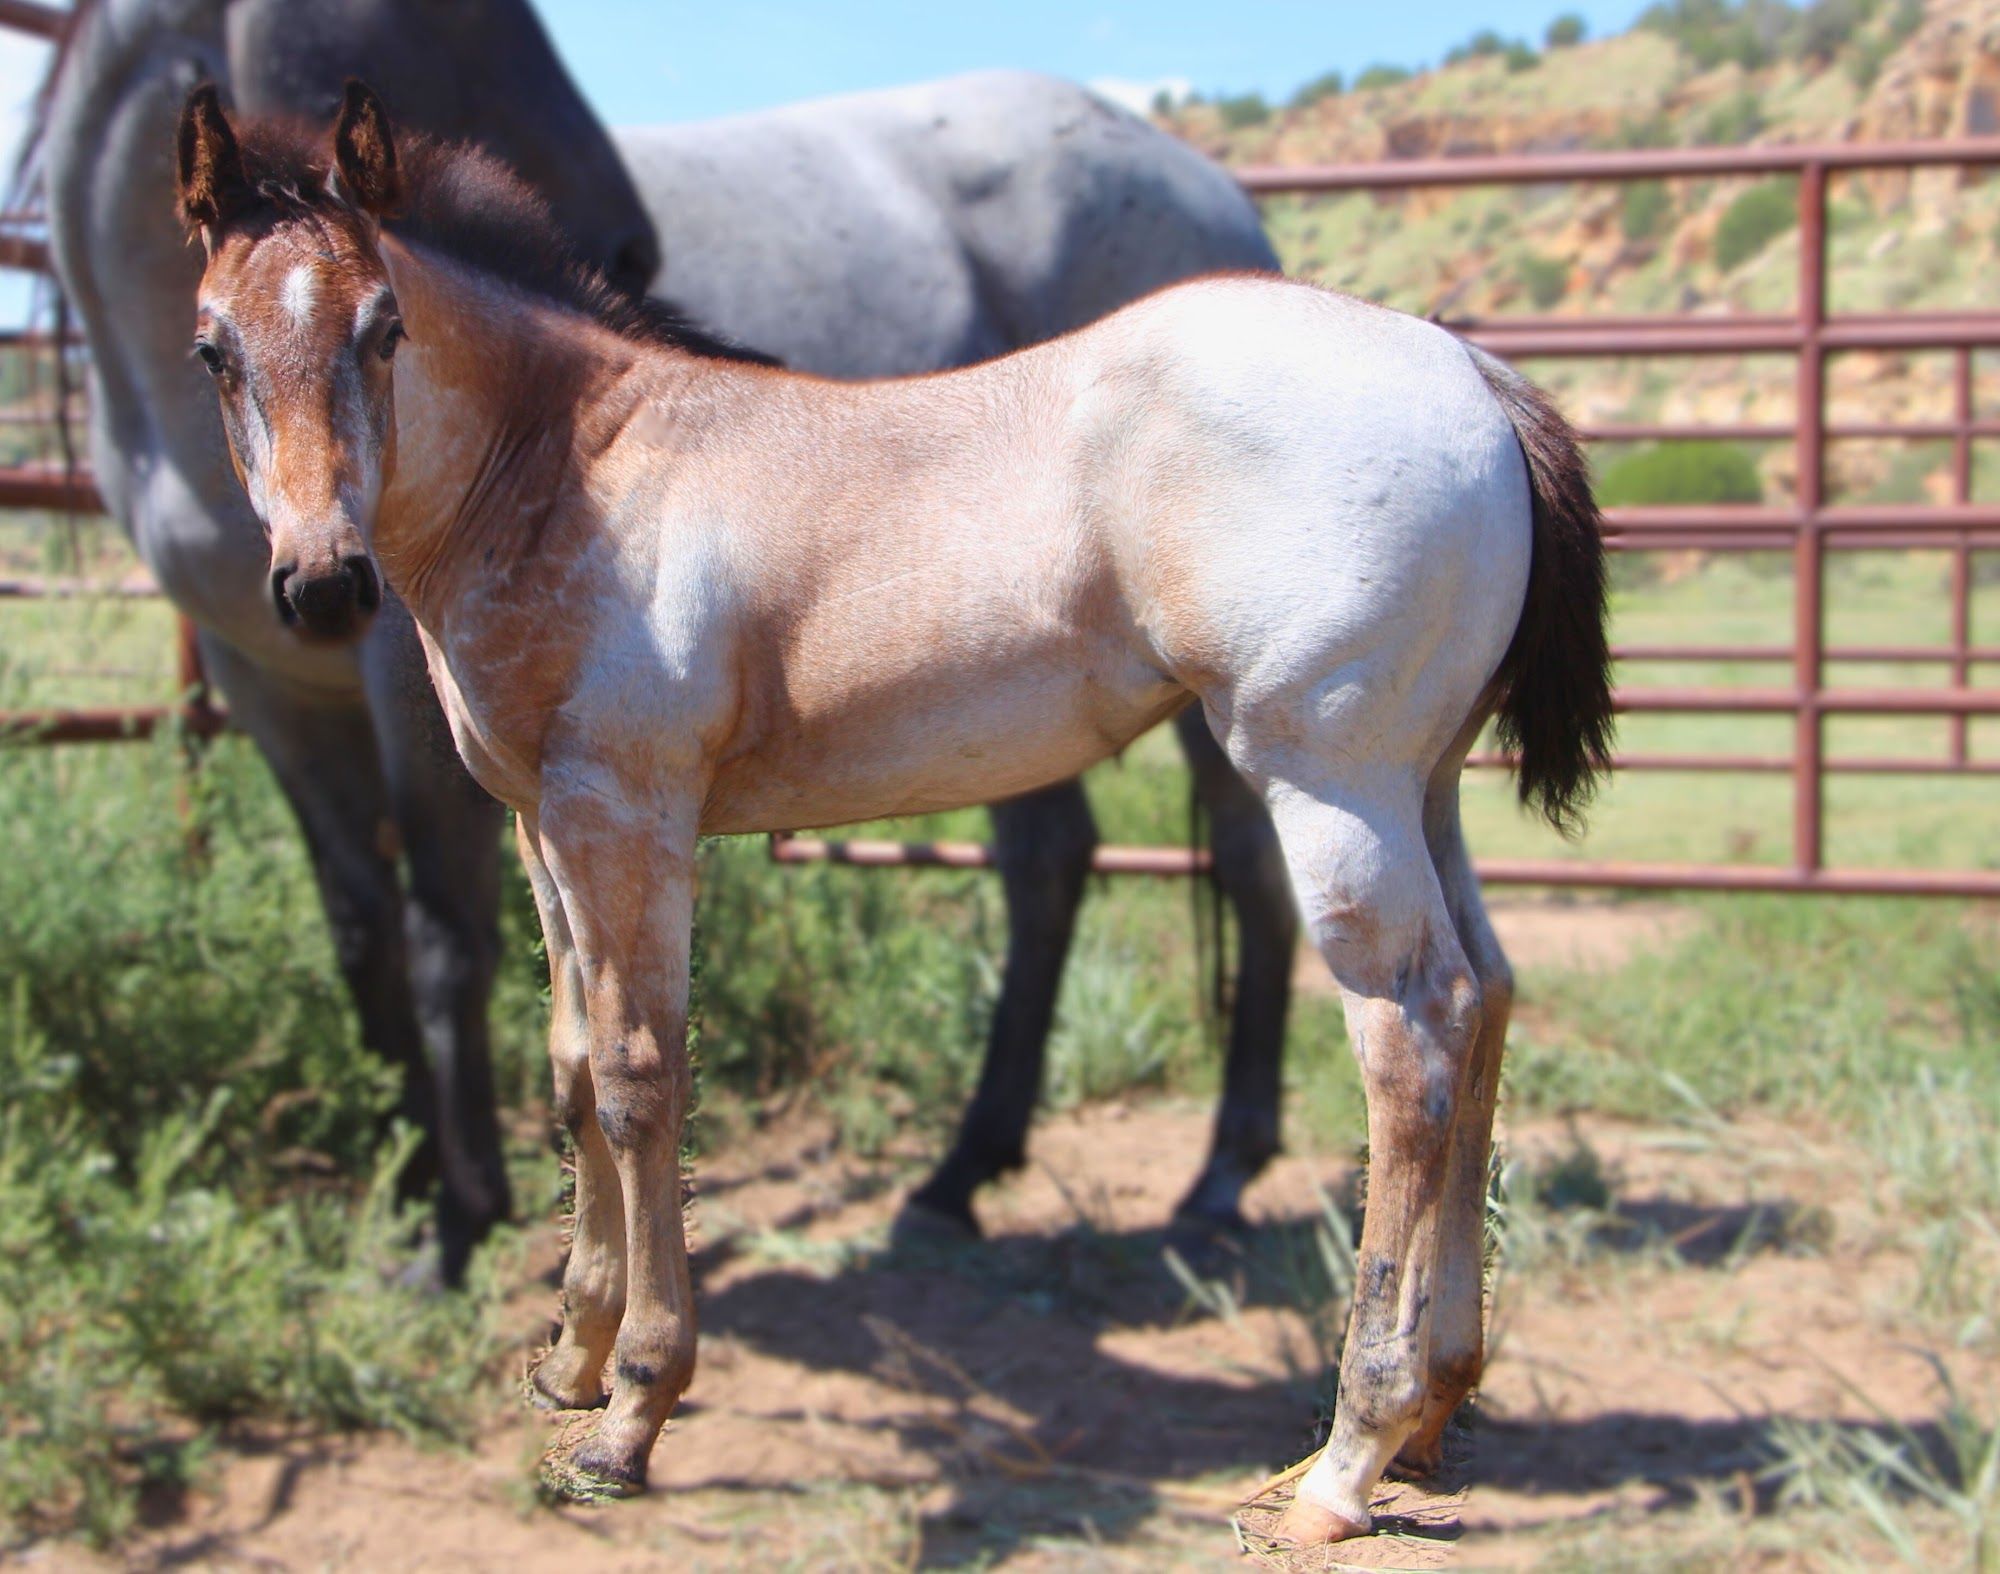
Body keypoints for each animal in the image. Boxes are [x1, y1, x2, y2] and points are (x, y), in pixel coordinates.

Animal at [174, 83, 1612, 1545]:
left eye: (384, 328)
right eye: (213, 349)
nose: (320, 585)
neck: (574, 466)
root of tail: (1468, 370)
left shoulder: (627, 811)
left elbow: (641, 1080)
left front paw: (634, 1409)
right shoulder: (540, 825)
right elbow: (572, 1067)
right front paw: (571, 1357)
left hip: (1329, 784)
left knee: (1410, 1043)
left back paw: (1343, 1458)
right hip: (1424, 784)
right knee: (1484, 996)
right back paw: (1436, 1407)